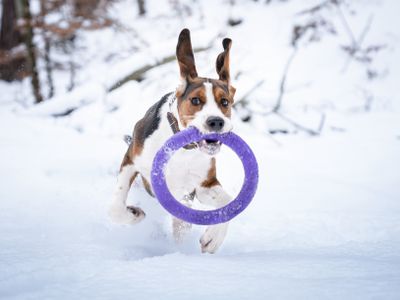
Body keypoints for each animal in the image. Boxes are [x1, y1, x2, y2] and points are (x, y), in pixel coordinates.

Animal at [108, 28, 236, 253]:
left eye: (225, 102)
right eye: (195, 100)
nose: (216, 122)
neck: (184, 149)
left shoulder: (203, 185)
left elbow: (228, 203)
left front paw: (213, 238)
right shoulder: (131, 159)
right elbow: (115, 206)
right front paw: (133, 215)